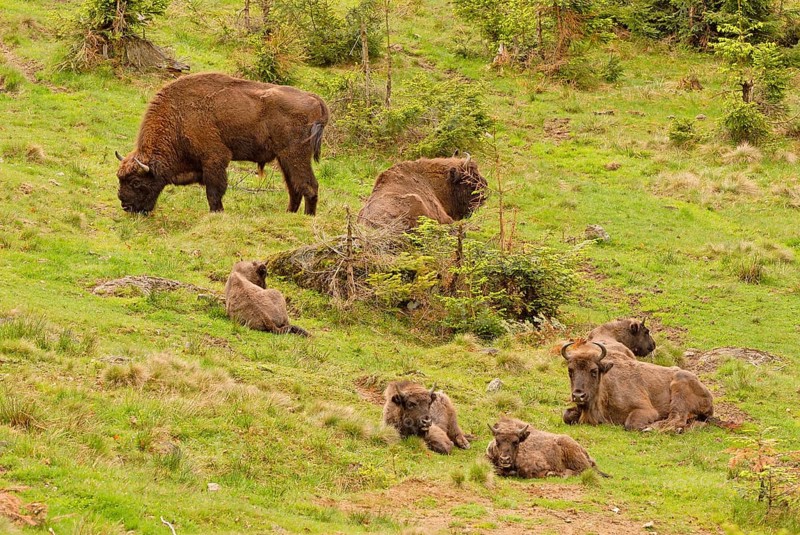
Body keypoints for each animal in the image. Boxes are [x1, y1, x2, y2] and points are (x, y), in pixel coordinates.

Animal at [115, 72, 328, 215]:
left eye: (135, 182)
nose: (125, 206)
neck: (178, 118)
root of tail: (313, 98)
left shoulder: (214, 160)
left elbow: (214, 192)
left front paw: (217, 213)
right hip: (283, 158)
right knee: (294, 188)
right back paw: (289, 214)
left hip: (295, 155)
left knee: (309, 186)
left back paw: (308, 217)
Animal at [561, 340, 713, 431]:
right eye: (570, 370)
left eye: (594, 371)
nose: (578, 395)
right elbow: (566, 415)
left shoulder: (646, 410)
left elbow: (631, 423)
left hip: (680, 383)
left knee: (676, 419)